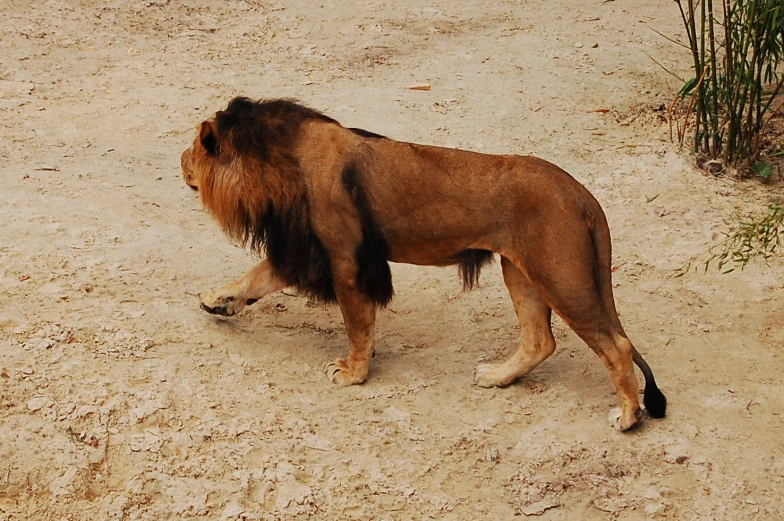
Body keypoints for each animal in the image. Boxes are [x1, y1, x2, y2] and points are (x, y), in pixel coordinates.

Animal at [184, 97, 668, 430]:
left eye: (195, 148)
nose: (180, 162)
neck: (286, 161)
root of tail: (582, 195)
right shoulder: (307, 251)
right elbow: (254, 277)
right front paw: (217, 301)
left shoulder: (345, 259)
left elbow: (357, 324)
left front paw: (353, 373)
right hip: (521, 271)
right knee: (540, 341)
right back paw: (497, 377)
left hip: (560, 276)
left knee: (616, 346)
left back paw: (628, 416)